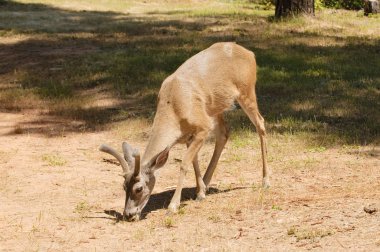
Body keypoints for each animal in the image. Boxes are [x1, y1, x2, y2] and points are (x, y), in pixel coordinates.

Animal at [99, 41, 268, 220]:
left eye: (139, 188)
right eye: (124, 186)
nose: (128, 214)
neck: (174, 110)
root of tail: (250, 53)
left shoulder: (203, 127)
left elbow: (184, 163)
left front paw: (173, 206)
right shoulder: (190, 134)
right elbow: (194, 161)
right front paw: (200, 192)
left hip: (246, 91)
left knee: (260, 124)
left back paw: (265, 181)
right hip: (214, 108)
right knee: (224, 132)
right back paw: (207, 184)